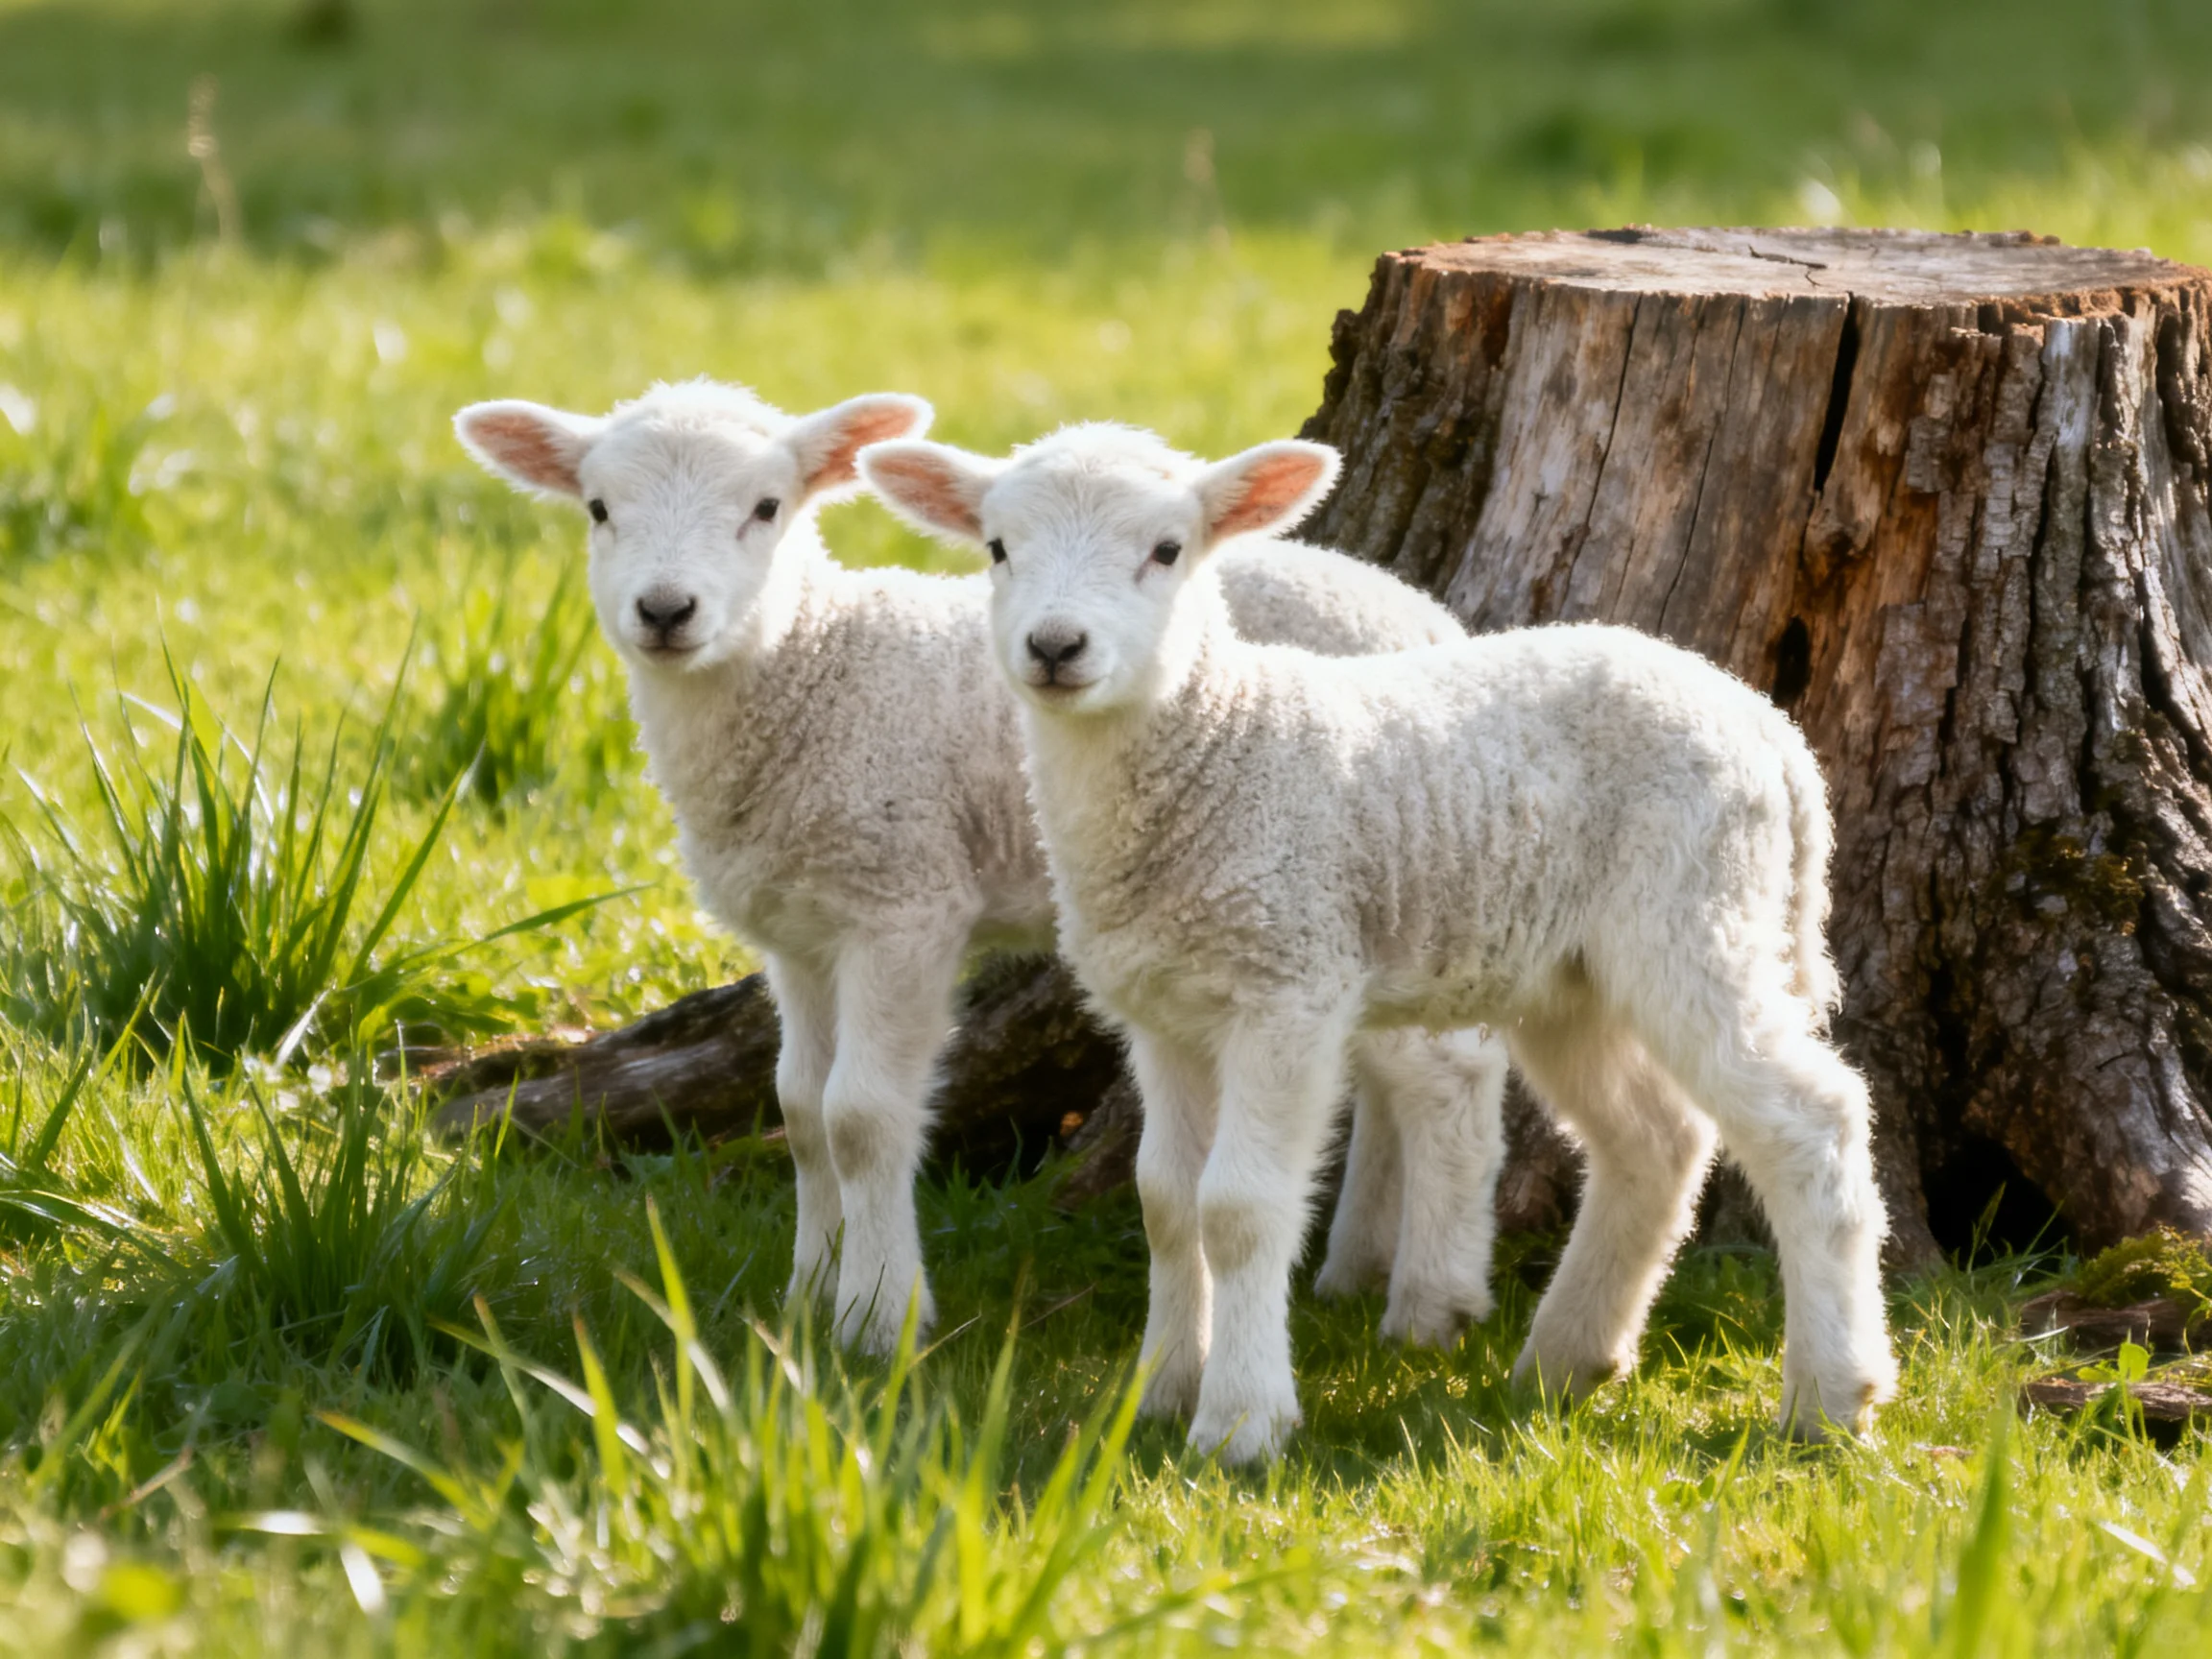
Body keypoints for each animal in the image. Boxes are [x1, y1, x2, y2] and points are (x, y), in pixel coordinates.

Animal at [454, 381, 1508, 1355]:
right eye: (599, 508)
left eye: (765, 507)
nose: (666, 611)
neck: (813, 668)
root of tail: (1426, 617)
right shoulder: (800, 931)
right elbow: (800, 1107)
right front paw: (805, 1297)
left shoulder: (902, 900)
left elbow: (860, 1116)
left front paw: (878, 1319)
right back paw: (1357, 1265)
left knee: (1451, 1070)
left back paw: (1429, 1301)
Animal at [860, 422, 1899, 1463]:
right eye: (998, 548)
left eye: (1166, 550)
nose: (1055, 646)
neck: (1218, 746)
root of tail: (1770, 731)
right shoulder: (1164, 1012)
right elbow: (1165, 1201)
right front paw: (1157, 1395)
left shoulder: (1288, 985)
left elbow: (1238, 1208)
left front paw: (1240, 1422)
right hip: (1575, 976)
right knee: (1657, 1138)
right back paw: (1567, 1359)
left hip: (1698, 914)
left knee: (1814, 1121)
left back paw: (1830, 1395)